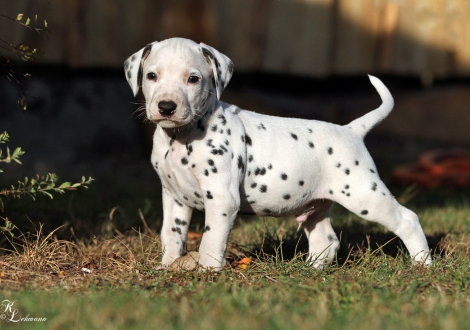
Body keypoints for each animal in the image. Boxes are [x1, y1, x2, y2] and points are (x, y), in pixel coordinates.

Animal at [123, 38, 432, 270]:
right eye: (151, 76)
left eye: (193, 79)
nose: (166, 106)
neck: (181, 138)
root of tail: (352, 130)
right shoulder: (174, 197)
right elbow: (171, 234)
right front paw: (167, 266)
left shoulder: (222, 199)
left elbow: (210, 239)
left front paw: (207, 271)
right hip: (317, 207)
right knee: (326, 240)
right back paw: (311, 270)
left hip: (364, 194)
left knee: (408, 220)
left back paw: (422, 264)